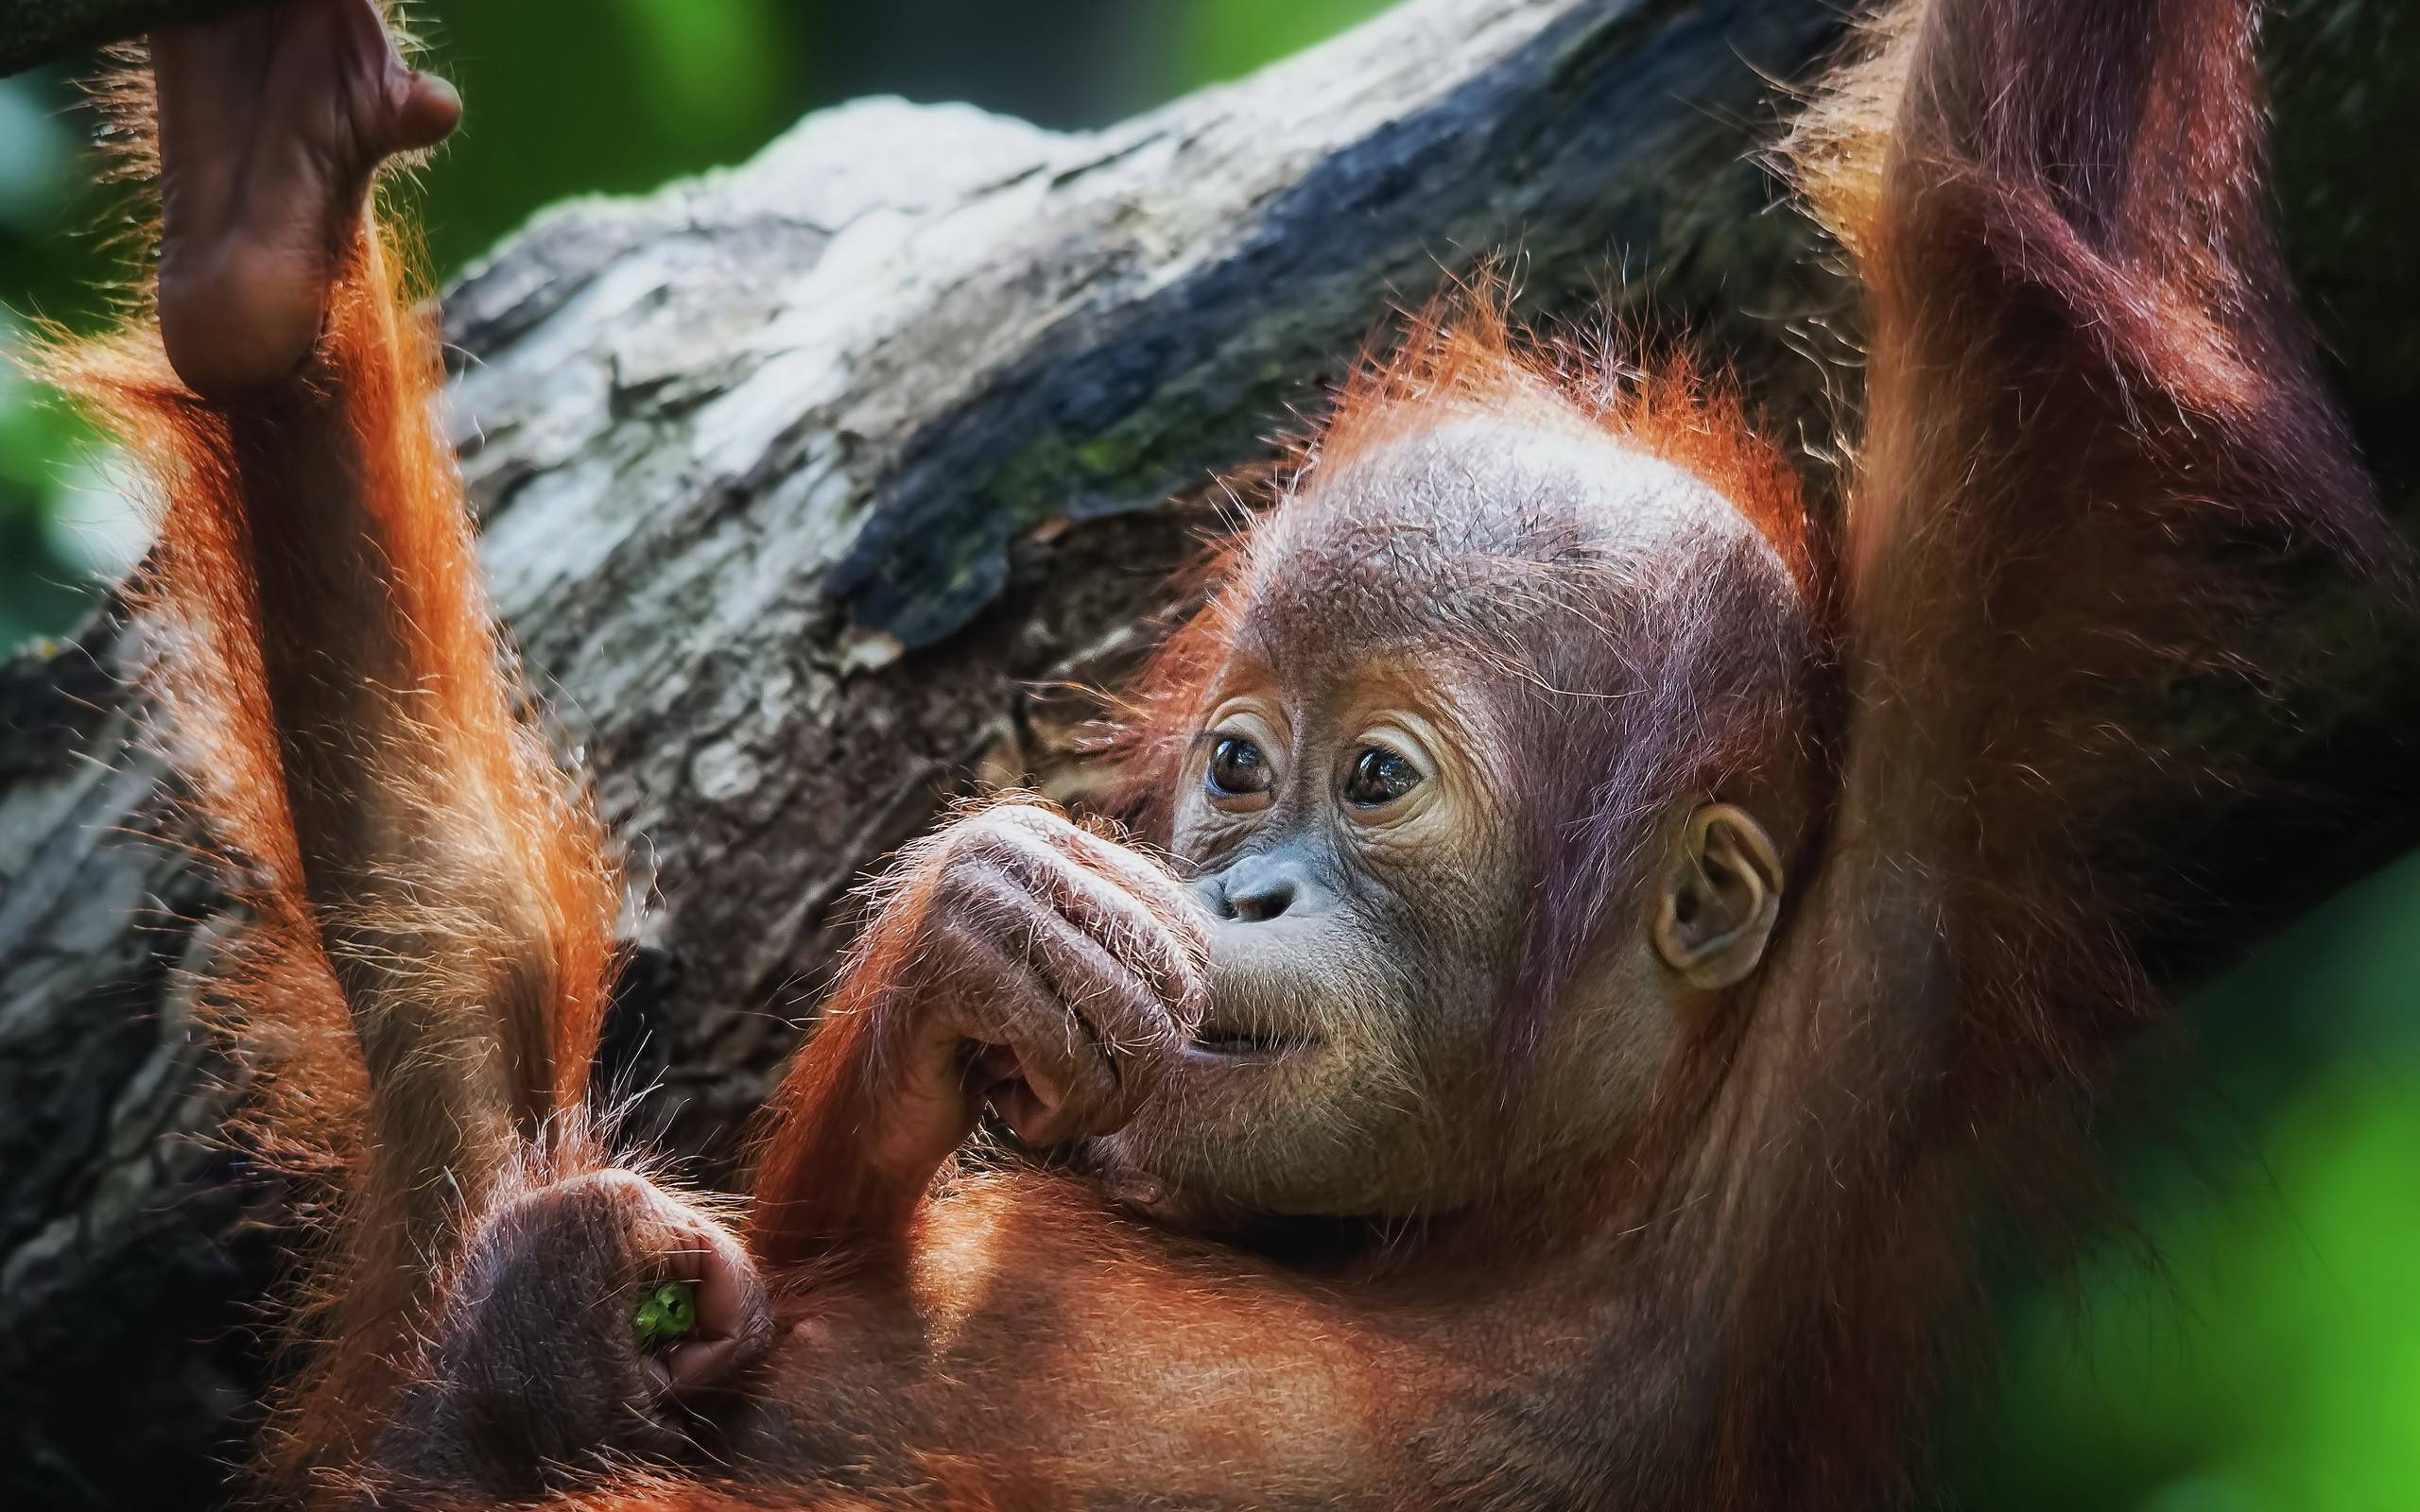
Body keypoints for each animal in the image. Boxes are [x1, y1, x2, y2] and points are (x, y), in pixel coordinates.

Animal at [38, 0, 2397, 1505]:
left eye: (1378, 784)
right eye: (1242, 768)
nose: (1235, 885)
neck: (1460, 1237)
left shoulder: (1879, 969)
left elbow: (1998, 214)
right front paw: (979, 936)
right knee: (461, 1009)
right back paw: (261, 231)